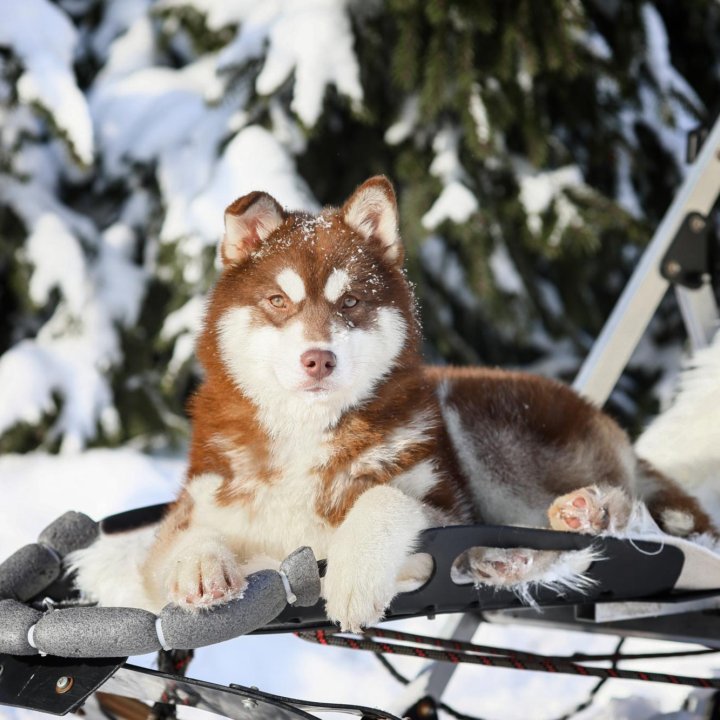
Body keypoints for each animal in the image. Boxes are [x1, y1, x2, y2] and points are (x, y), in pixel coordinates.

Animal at [142, 176, 716, 632]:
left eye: (351, 302)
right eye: (278, 301)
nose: (318, 359)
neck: (308, 433)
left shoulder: (444, 508)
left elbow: (386, 500)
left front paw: (353, 576)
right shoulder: (198, 509)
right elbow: (176, 543)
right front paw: (200, 566)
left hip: (481, 423)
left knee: (630, 514)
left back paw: (582, 514)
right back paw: (509, 554)